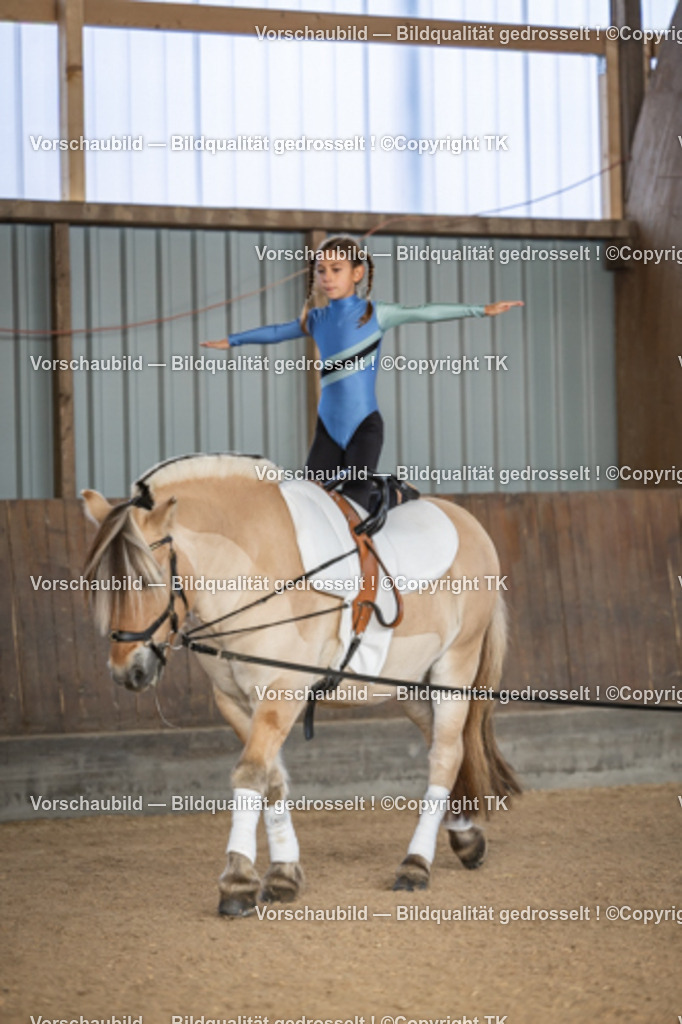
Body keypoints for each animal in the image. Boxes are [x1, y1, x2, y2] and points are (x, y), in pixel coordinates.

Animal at [82, 453, 520, 916]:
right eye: (100, 584)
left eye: (148, 580)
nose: (128, 672)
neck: (252, 571)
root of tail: (468, 522)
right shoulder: (233, 701)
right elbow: (272, 779)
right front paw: (283, 875)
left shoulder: (281, 691)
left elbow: (250, 773)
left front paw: (237, 883)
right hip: (412, 685)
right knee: (443, 744)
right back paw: (465, 837)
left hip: (454, 668)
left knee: (446, 755)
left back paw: (415, 864)